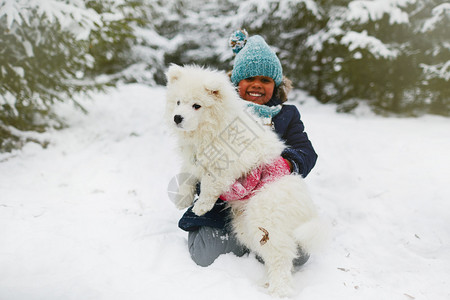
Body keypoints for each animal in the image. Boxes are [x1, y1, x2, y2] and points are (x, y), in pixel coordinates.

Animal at [165, 64, 324, 296]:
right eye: (178, 102)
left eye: (196, 105)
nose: (177, 117)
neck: (210, 129)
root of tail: (306, 208)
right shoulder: (194, 158)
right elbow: (188, 174)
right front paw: (183, 199)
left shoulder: (228, 160)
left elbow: (211, 182)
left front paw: (201, 206)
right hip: (250, 228)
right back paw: (268, 282)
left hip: (266, 219)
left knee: (281, 256)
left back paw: (279, 290)